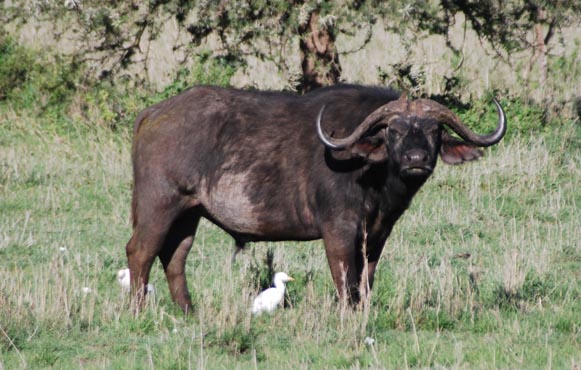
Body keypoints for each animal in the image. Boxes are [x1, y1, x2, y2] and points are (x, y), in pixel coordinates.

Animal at [124, 84, 506, 312]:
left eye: (433, 130)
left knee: (174, 257)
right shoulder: (338, 230)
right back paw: (138, 308)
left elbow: (366, 277)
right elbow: (344, 276)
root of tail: (153, 114)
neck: (371, 173)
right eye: (393, 131)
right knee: (140, 251)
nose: (416, 159)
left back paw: (188, 310)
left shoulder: (377, 234)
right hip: (159, 205)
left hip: (189, 213)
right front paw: (347, 312)